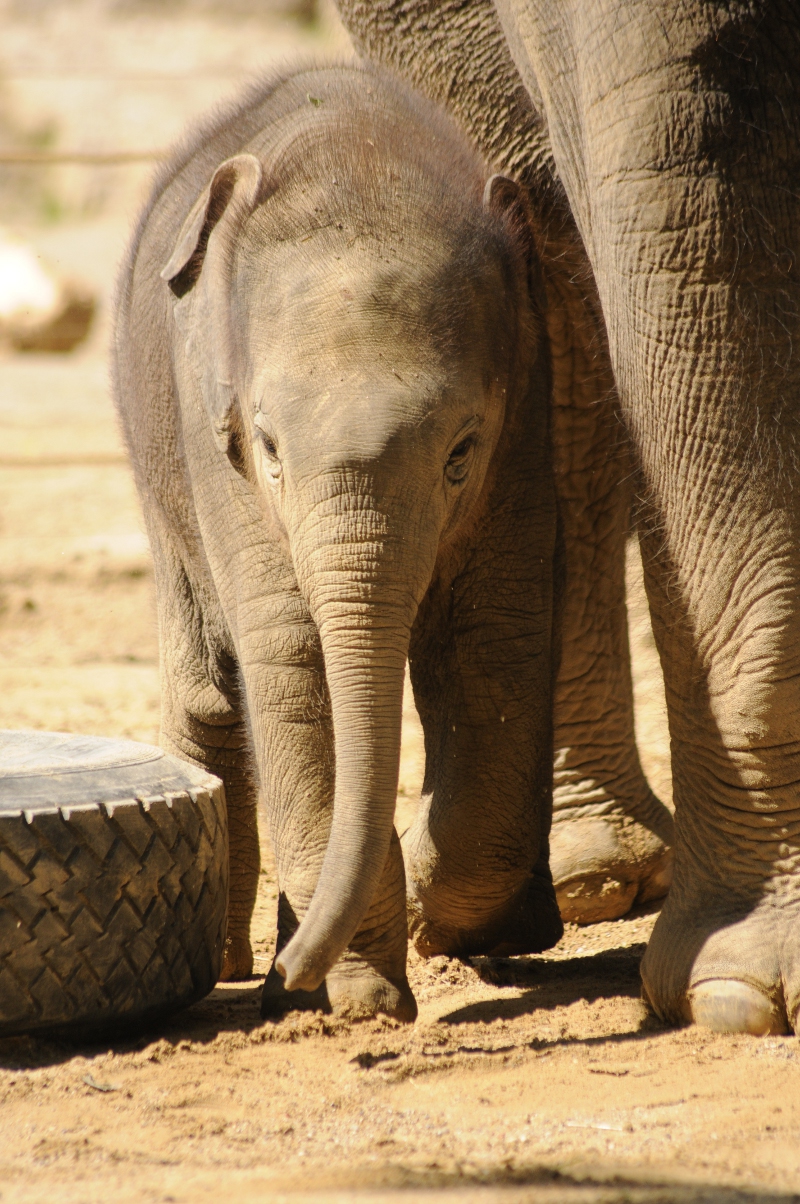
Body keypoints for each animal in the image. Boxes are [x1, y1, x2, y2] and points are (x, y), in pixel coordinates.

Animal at [113, 62, 565, 1021]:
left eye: (461, 452)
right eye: (269, 449)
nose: (286, 980)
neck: (359, 155)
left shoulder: (529, 415)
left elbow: (495, 639)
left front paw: (446, 922)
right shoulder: (212, 436)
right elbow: (291, 658)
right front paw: (365, 999)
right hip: (153, 463)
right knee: (211, 693)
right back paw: (234, 966)